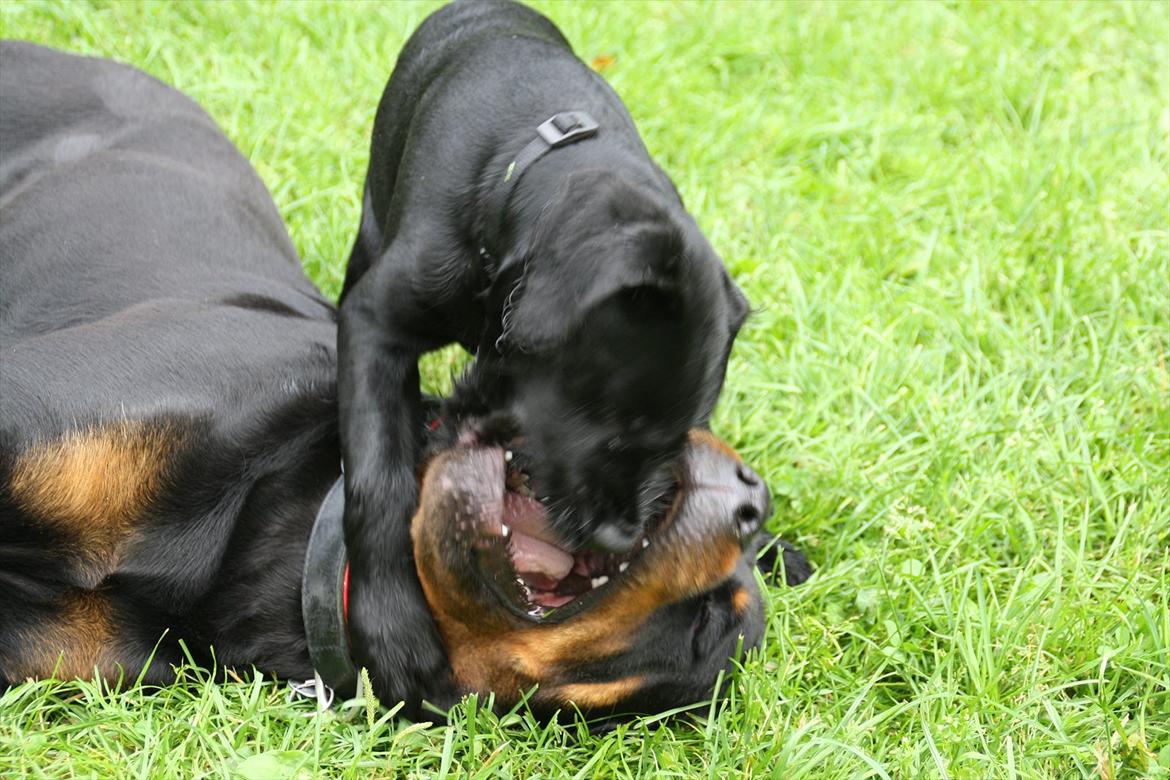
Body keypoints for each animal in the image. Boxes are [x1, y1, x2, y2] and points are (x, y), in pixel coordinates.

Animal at [336, 0, 758, 711]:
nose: (620, 536)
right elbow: (376, 477)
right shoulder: (374, 326)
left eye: (683, 433)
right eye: (618, 426)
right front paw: (391, 626)